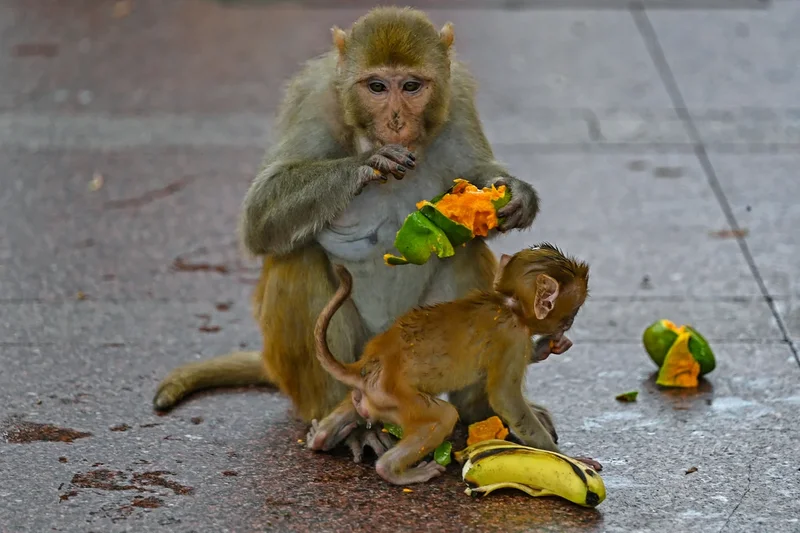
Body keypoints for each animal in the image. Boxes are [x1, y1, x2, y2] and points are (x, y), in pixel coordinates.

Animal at [152, 6, 547, 462]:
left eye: (411, 86)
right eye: (376, 86)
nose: (395, 120)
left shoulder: (458, 96)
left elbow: (477, 177)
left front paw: (516, 194)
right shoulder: (313, 98)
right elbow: (259, 214)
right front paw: (368, 162)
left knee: (464, 251)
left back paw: (479, 409)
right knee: (298, 260)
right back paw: (344, 423)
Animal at [307, 244, 602, 485]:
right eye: (572, 313)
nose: (568, 325)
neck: (509, 305)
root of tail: (368, 365)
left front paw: (545, 347)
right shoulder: (512, 337)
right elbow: (505, 399)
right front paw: (566, 457)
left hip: (368, 396)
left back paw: (320, 437)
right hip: (395, 397)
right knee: (444, 416)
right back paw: (392, 470)